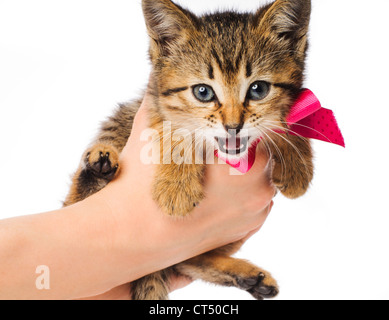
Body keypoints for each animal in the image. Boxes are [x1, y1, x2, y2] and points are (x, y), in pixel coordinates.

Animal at [63, 0, 312, 300]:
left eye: (258, 89)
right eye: (203, 92)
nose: (233, 126)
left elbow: (290, 121)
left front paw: (297, 165)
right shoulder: (152, 101)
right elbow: (174, 127)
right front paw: (176, 187)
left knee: (187, 259)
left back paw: (248, 276)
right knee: (75, 207)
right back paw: (97, 166)